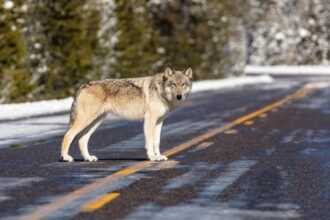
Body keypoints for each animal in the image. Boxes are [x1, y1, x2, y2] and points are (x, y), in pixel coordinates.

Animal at [60, 66, 192, 162]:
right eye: (173, 84)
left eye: (183, 84)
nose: (179, 96)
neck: (161, 92)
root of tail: (83, 85)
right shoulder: (149, 120)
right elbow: (150, 142)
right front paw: (152, 157)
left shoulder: (159, 121)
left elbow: (157, 142)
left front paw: (158, 156)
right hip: (86, 120)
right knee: (68, 135)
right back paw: (66, 158)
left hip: (96, 122)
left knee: (82, 139)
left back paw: (88, 158)